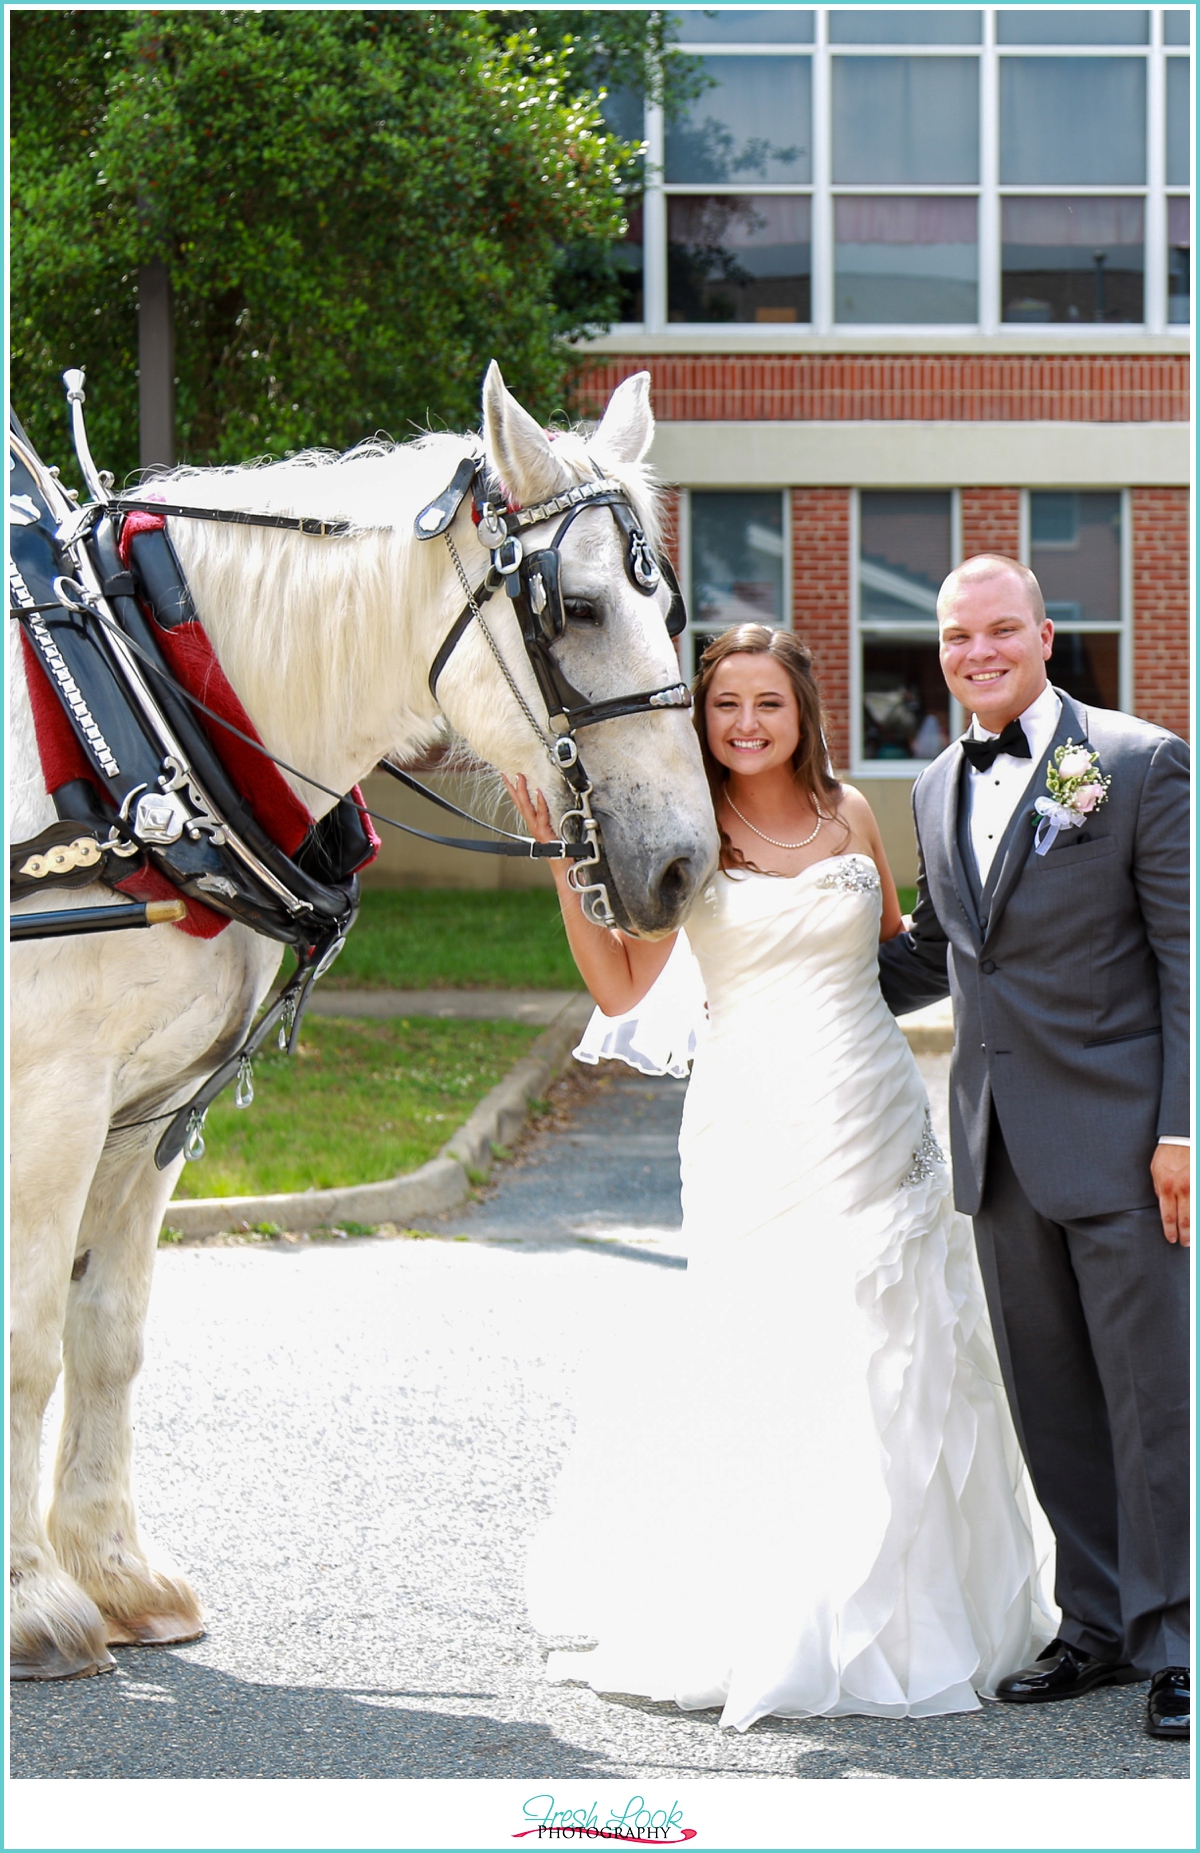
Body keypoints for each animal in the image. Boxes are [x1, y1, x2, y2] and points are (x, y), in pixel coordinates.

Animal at [9, 357, 718, 1682]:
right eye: (580, 605)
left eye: (673, 609)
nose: (684, 865)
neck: (143, 712)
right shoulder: (53, 1098)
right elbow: (28, 1332)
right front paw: (33, 1600)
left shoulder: (151, 1112)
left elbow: (108, 1329)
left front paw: (117, 1573)